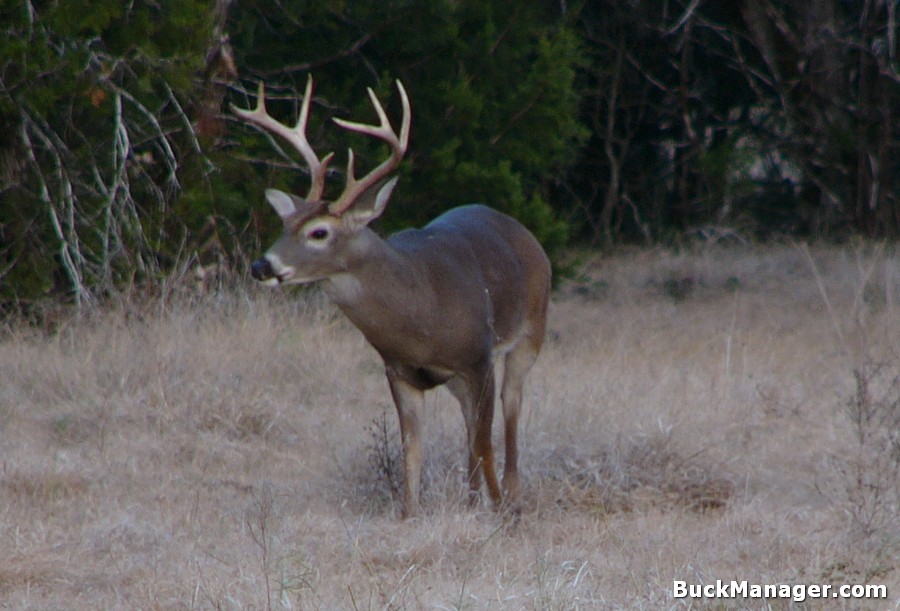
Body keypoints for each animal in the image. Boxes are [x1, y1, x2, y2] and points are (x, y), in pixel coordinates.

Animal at [232, 75, 551, 518]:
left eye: (319, 232)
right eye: (285, 224)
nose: (262, 265)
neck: (419, 313)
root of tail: (524, 233)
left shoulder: (478, 357)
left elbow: (485, 441)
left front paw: (502, 511)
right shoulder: (400, 370)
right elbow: (412, 449)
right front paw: (409, 514)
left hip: (531, 332)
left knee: (510, 408)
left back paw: (510, 496)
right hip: (457, 379)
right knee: (469, 422)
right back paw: (471, 500)